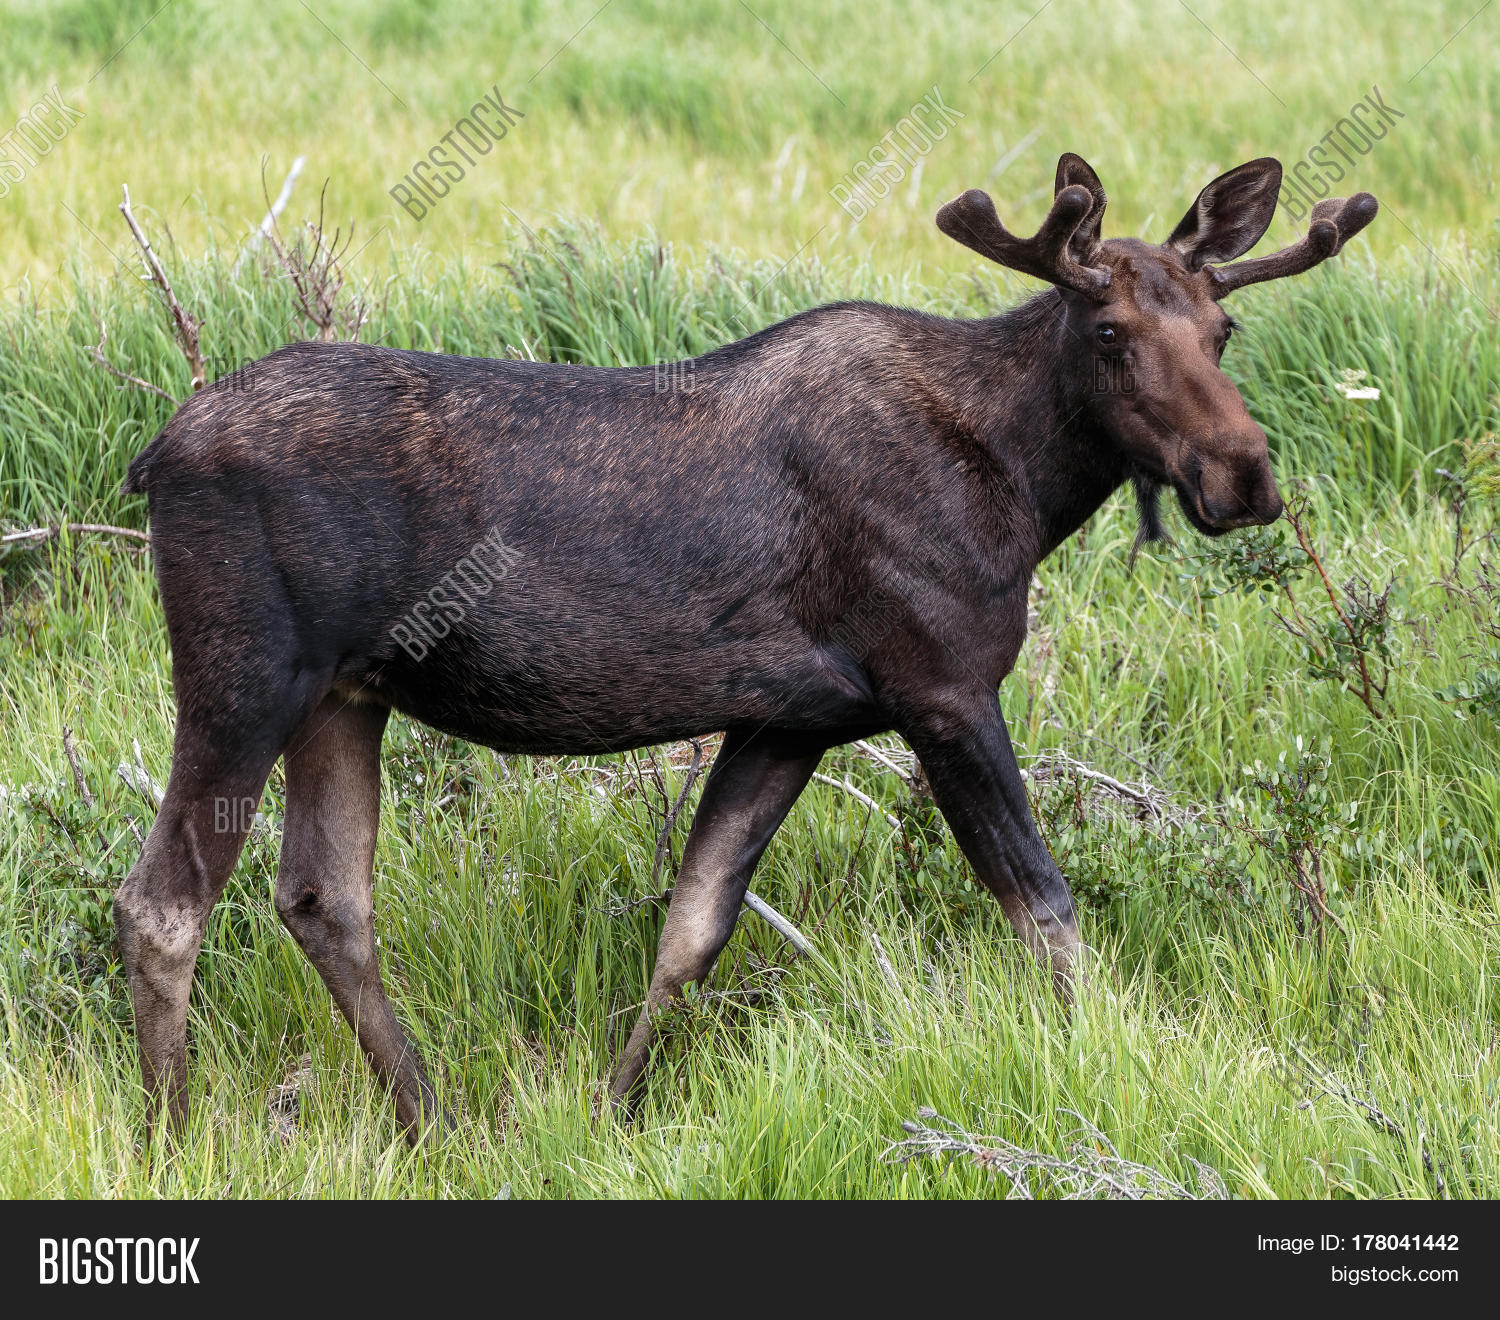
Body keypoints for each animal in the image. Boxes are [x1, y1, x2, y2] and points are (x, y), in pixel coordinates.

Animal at [115, 154, 1376, 1141]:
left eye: (1225, 329)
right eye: (1111, 331)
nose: (1244, 474)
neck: (1027, 484)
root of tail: (155, 454)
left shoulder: (789, 718)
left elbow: (693, 929)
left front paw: (612, 1116)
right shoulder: (941, 684)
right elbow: (1046, 910)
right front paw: (1107, 1065)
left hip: (347, 696)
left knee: (324, 899)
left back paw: (432, 1124)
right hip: (243, 675)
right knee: (163, 905)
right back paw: (176, 1138)